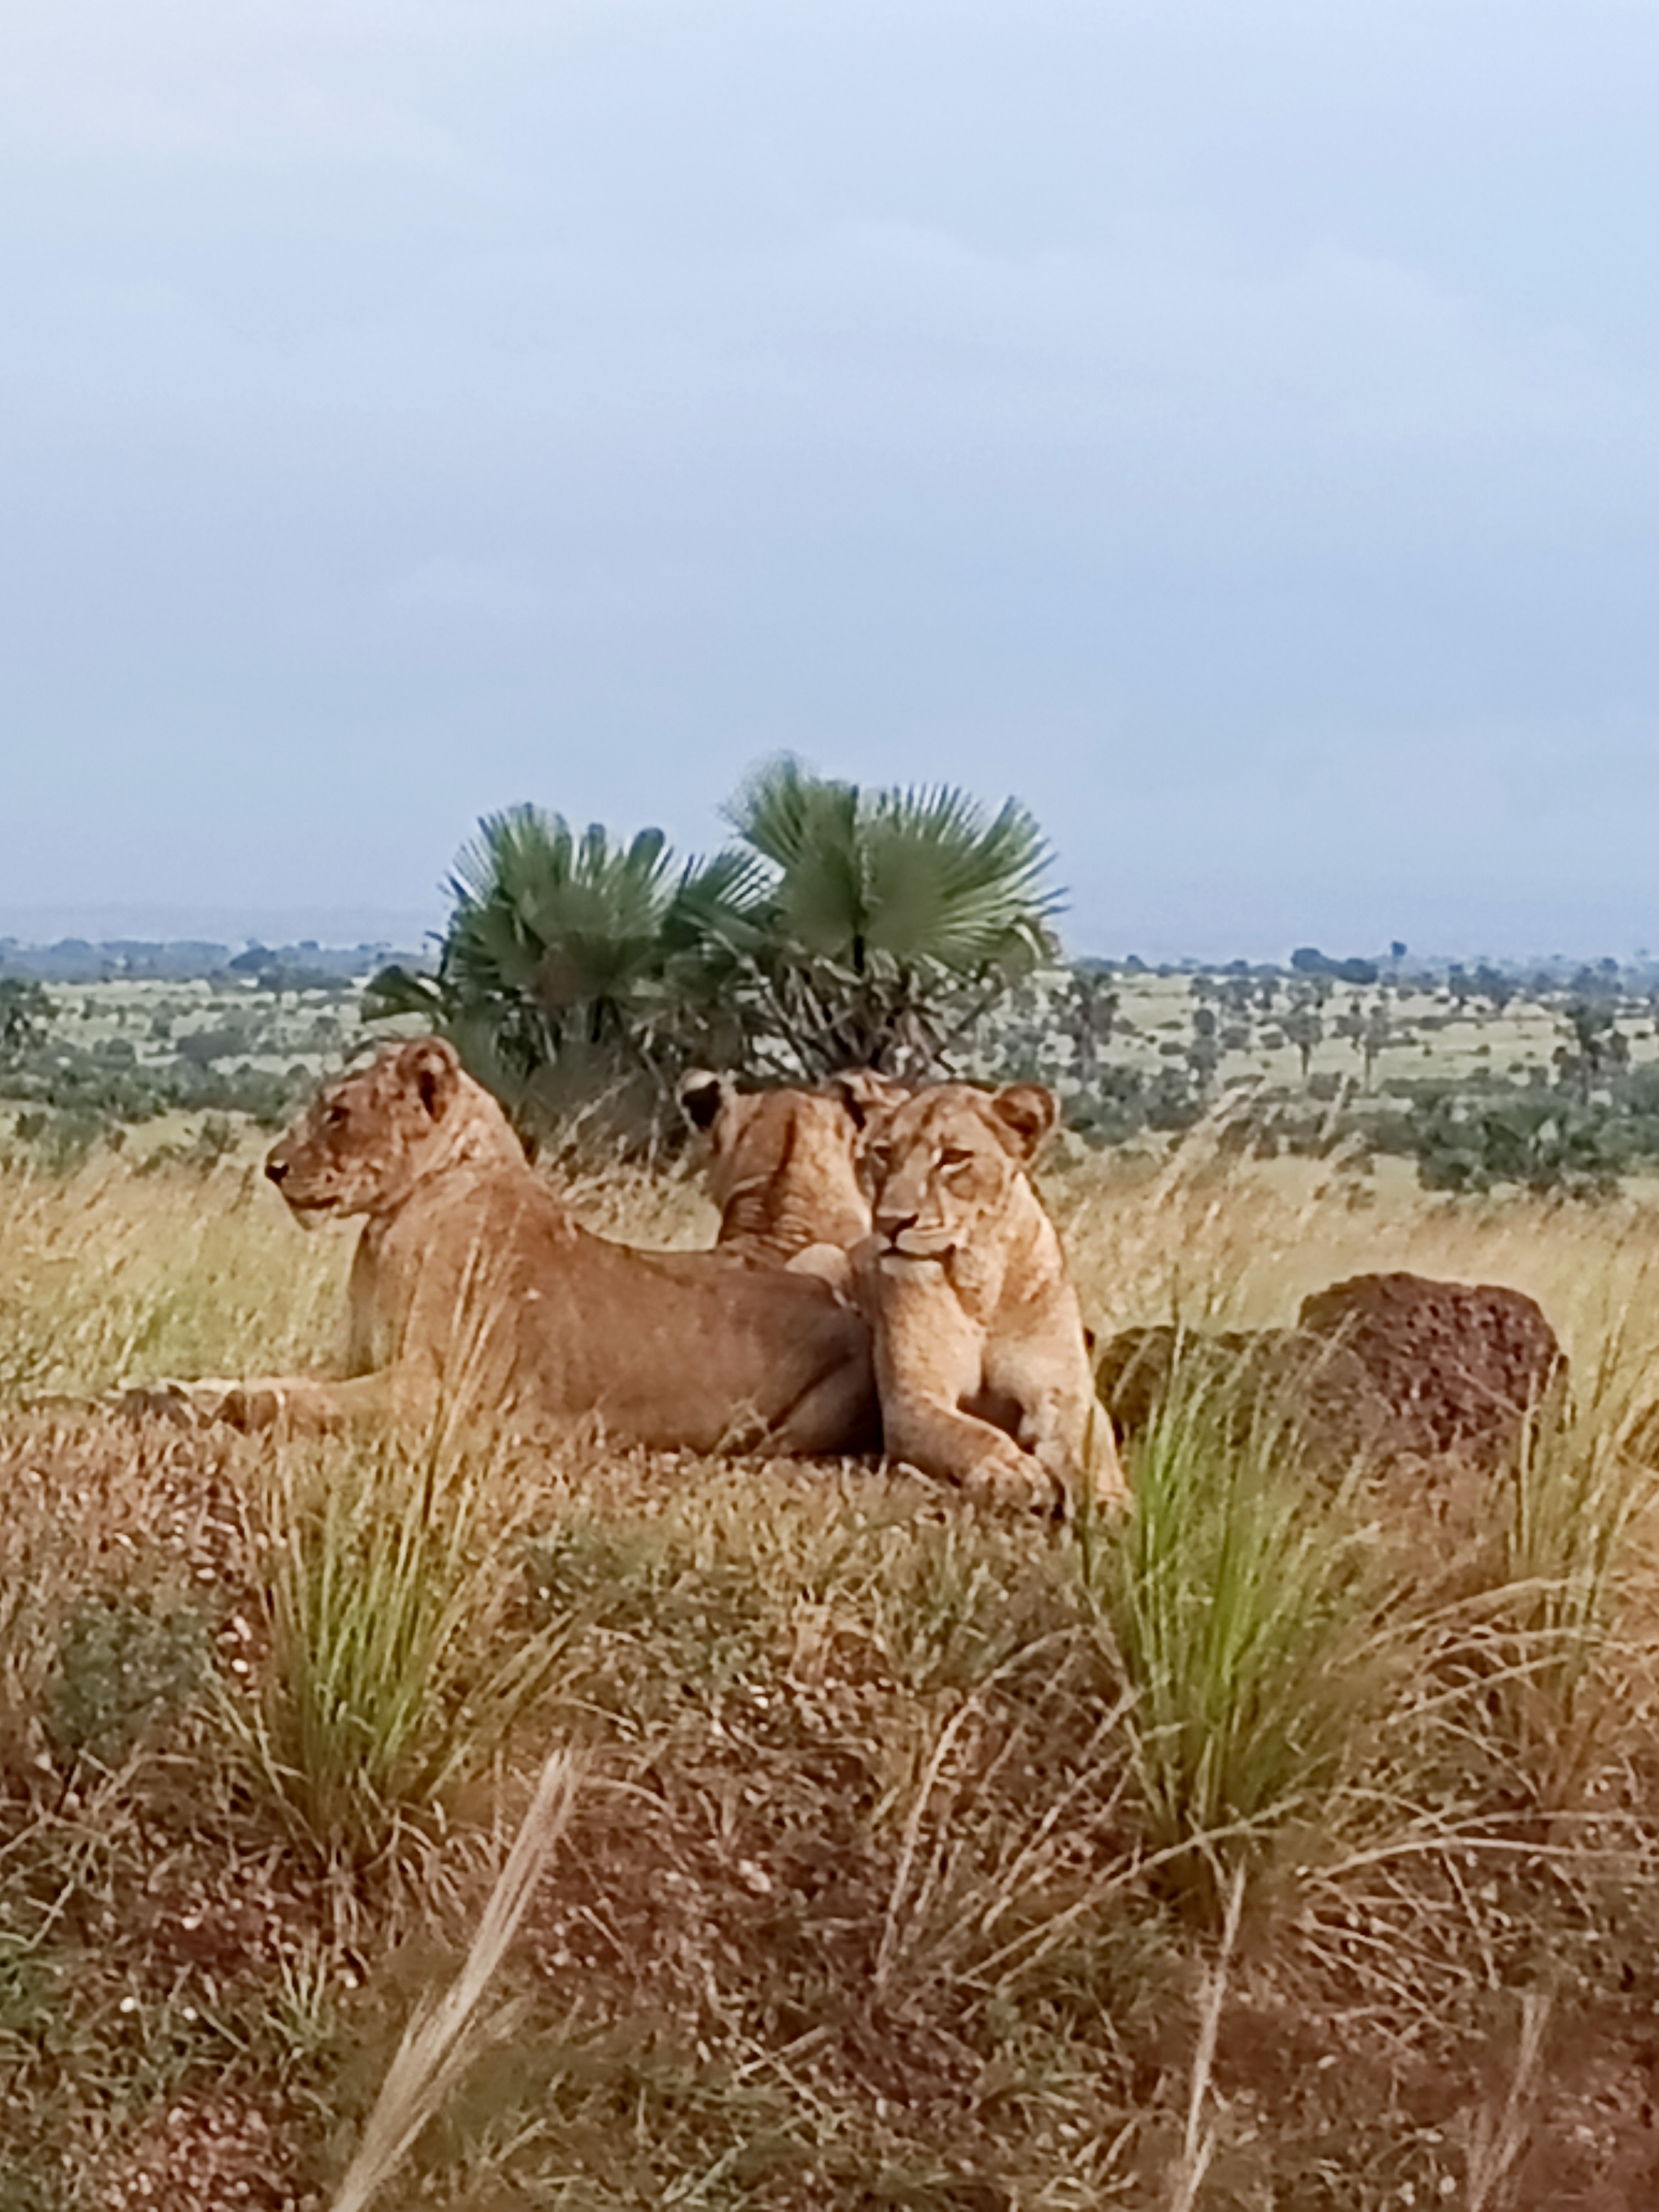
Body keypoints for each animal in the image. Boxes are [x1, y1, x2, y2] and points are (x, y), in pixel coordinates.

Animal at [150, 1038, 877, 1456]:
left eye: (339, 1112)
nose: (272, 1167)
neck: (392, 1222)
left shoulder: (436, 1393)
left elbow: (289, 1400)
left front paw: (222, 1405)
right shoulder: (358, 1359)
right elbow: (275, 1376)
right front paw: (178, 1388)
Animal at [852, 1081, 1127, 1514]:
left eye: (953, 1157)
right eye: (884, 1153)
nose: (890, 1222)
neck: (979, 1282)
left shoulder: (1064, 1392)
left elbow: (1091, 1444)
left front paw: (1108, 1498)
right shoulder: (911, 1399)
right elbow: (969, 1433)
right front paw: (1013, 1471)